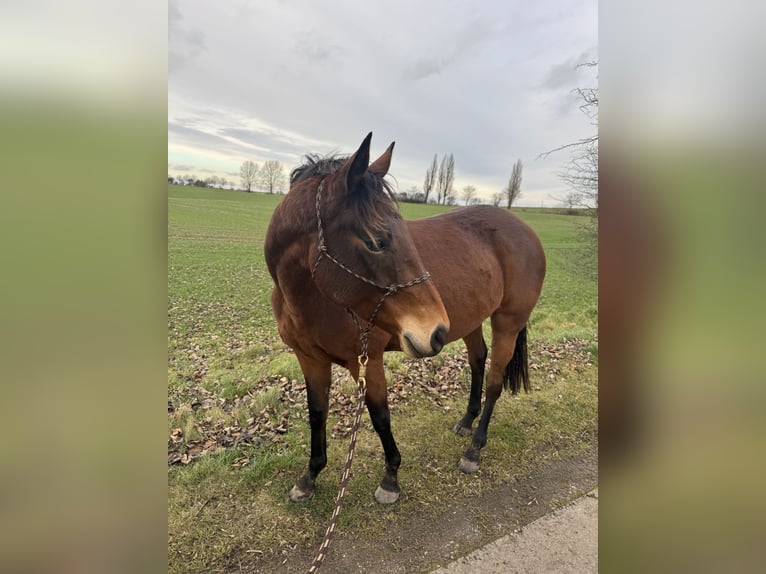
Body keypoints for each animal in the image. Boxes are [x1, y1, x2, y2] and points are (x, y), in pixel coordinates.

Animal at [264, 133, 546, 505]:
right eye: (376, 241)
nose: (436, 331)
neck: (310, 298)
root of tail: (526, 231)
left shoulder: (368, 360)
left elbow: (380, 416)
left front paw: (390, 479)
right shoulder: (309, 359)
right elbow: (316, 414)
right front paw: (310, 476)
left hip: (507, 324)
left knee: (494, 381)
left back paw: (474, 449)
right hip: (471, 321)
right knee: (477, 361)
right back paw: (465, 422)